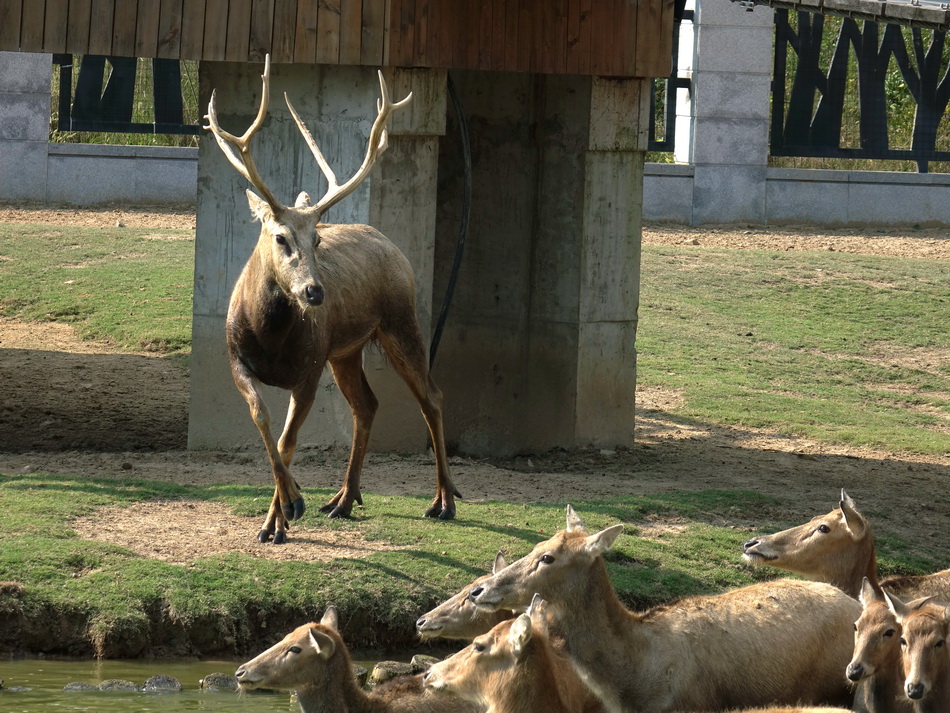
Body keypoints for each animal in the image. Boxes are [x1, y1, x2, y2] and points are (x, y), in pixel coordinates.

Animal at [205, 55, 462, 544]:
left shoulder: (309, 367)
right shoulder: (235, 360)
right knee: (367, 404)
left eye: (318, 239)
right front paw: (286, 509)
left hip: (401, 322)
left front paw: (283, 514)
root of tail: (390, 242)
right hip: (345, 351)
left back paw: (444, 501)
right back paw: (343, 499)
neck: (268, 336)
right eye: (281, 236)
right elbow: (262, 421)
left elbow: (287, 441)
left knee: (433, 396)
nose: (314, 291)